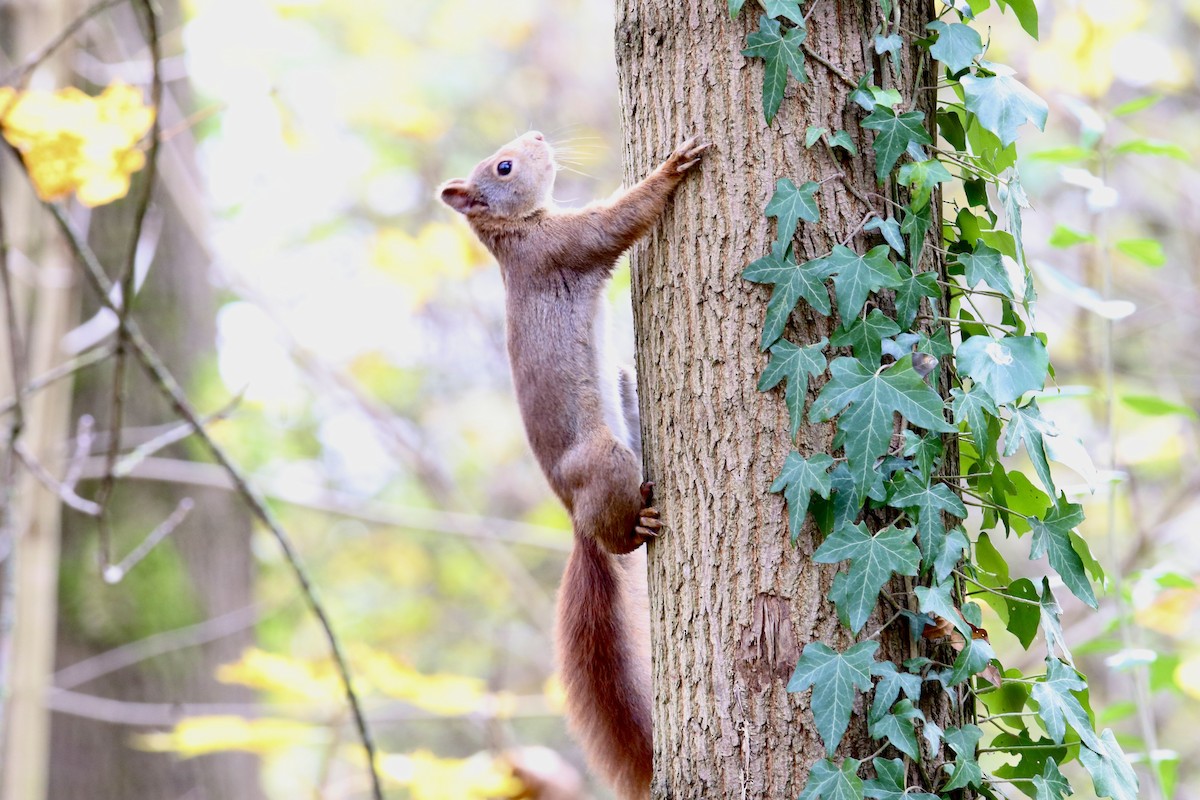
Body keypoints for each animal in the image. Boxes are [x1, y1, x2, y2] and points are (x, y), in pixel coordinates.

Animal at [440, 130, 707, 799]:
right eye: (504, 166)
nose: (537, 135)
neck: (514, 234)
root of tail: (574, 518)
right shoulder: (564, 246)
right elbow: (617, 222)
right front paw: (670, 170)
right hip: (602, 460)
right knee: (617, 540)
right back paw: (637, 527)